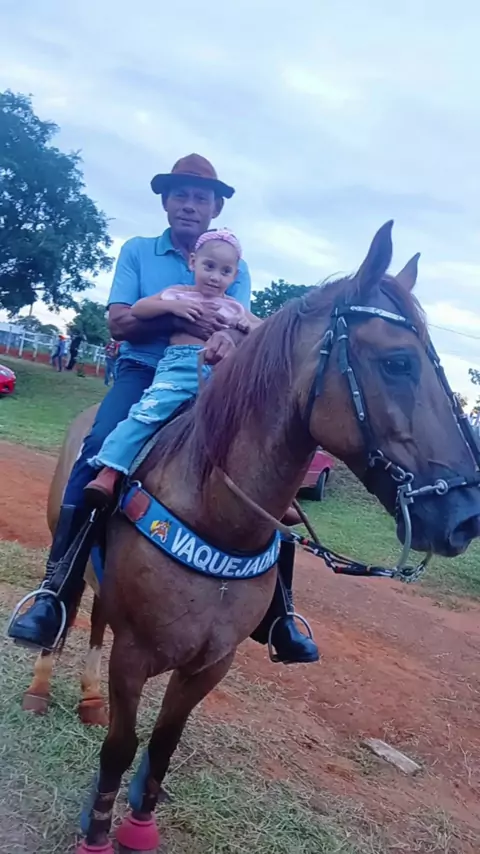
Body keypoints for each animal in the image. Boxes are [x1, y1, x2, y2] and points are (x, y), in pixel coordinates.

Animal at [36, 222, 480, 853]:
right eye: (398, 362)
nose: (466, 516)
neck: (216, 516)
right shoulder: (135, 655)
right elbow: (121, 748)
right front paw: (96, 835)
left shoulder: (210, 664)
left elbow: (163, 744)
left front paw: (140, 825)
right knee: (66, 609)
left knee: (97, 619)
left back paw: (91, 700)